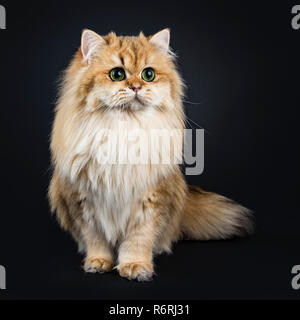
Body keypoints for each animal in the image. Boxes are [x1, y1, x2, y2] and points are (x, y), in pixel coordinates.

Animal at [49, 28, 253, 282]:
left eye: (148, 74)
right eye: (117, 74)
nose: (136, 86)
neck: (125, 130)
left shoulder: (152, 199)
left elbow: (138, 241)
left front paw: (135, 267)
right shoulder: (82, 201)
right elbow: (95, 239)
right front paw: (98, 263)